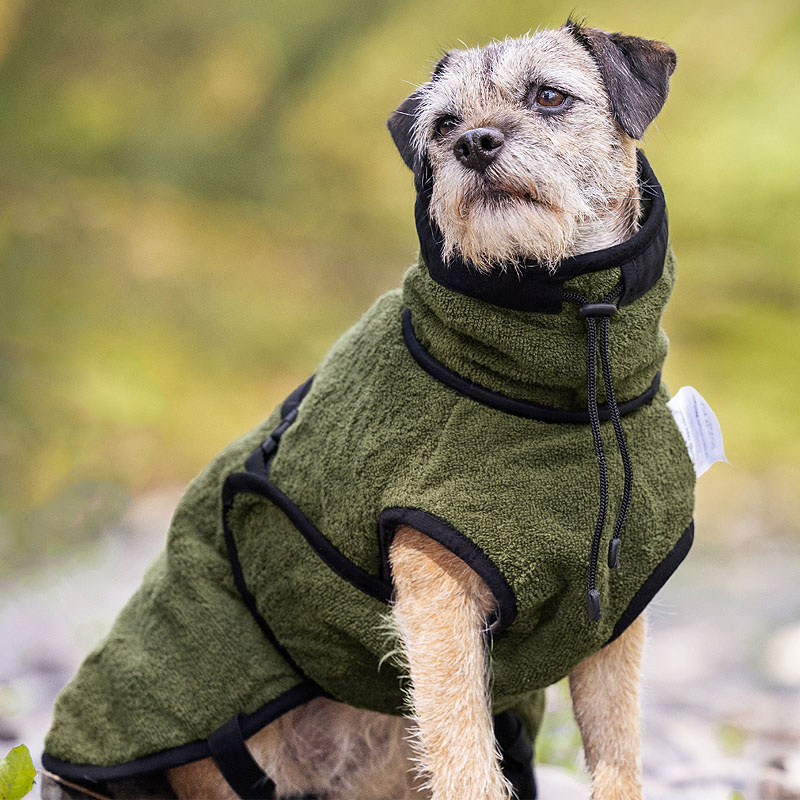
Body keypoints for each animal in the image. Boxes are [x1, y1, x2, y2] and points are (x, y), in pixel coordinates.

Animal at [42, 18, 692, 800]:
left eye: (549, 96)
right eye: (443, 126)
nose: (474, 143)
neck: (563, 385)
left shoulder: (614, 622)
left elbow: (618, 756)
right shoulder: (439, 604)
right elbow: (467, 759)